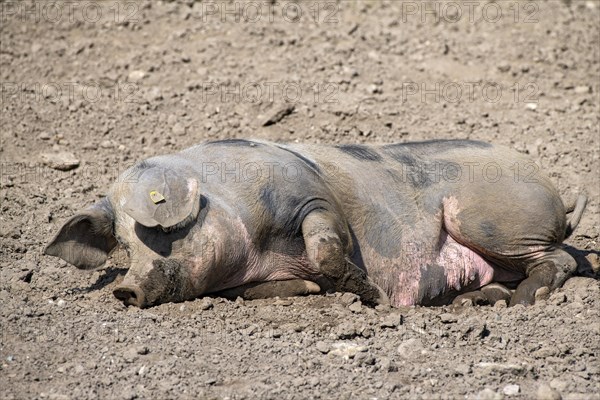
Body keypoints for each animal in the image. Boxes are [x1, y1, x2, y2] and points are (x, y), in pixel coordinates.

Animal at [45, 139, 584, 308]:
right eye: (122, 244)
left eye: (161, 230)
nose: (125, 289)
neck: (259, 250)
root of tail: (551, 188)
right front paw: (309, 289)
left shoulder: (309, 195)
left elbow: (327, 245)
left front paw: (376, 298)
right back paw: (479, 299)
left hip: (488, 220)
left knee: (561, 259)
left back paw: (523, 300)